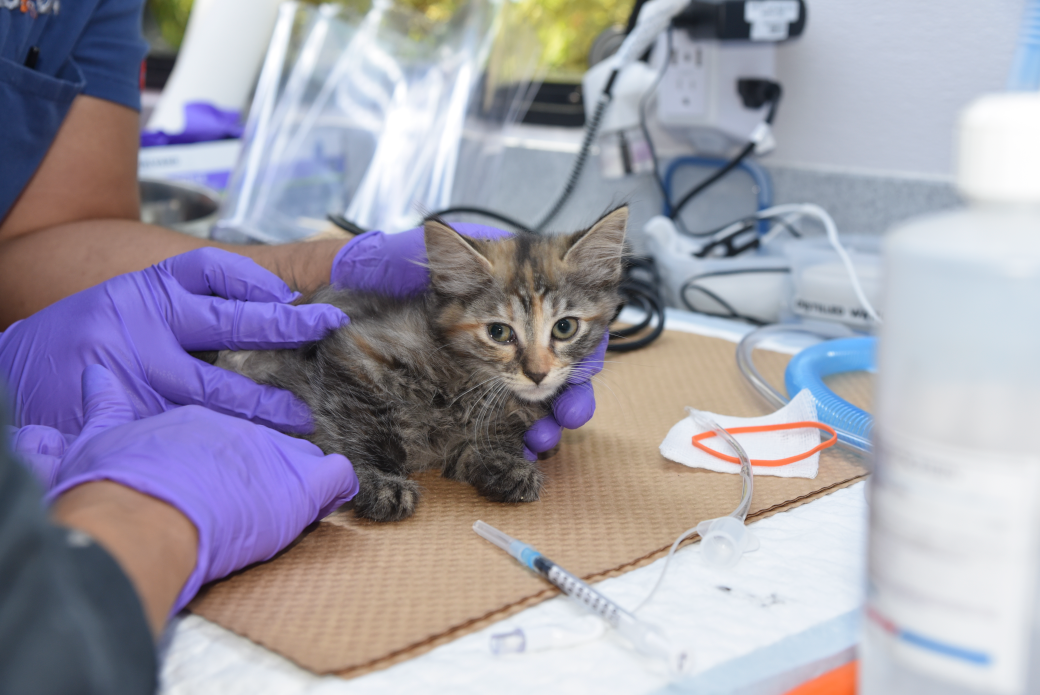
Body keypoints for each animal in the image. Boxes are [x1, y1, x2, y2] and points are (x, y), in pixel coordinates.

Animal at [213, 206, 624, 520]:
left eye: (565, 327)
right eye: (499, 332)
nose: (537, 373)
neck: (467, 380)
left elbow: (474, 448)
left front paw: (505, 466)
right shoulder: (351, 355)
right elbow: (360, 431)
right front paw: (379, 483)